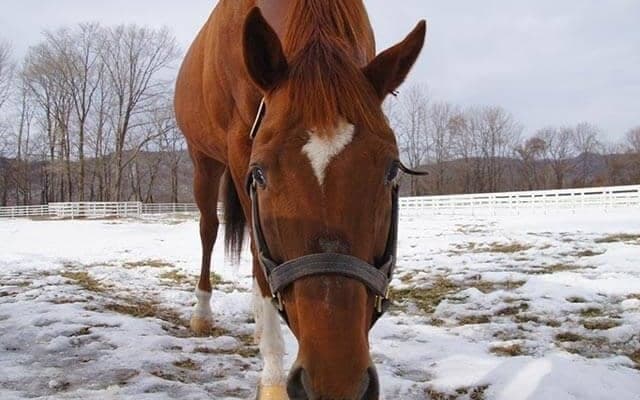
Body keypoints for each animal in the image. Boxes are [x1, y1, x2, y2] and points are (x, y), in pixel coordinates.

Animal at [174, 1, 426, 399]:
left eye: (391, 170)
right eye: (260, 173)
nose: (336, 383)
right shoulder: (239, 149)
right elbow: (258, 259)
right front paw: (273, 379)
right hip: (204, 161)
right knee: (209, 230)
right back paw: (203, 313)